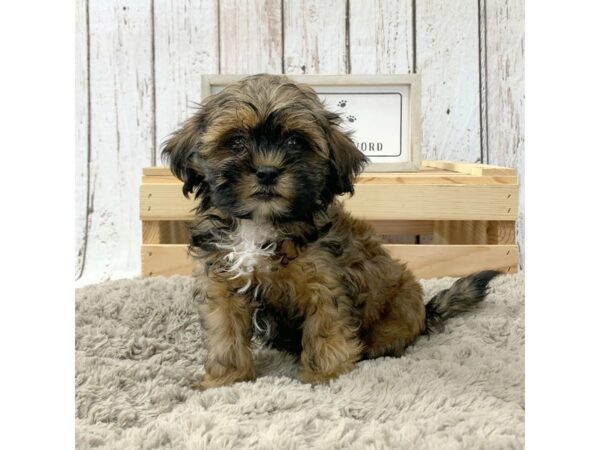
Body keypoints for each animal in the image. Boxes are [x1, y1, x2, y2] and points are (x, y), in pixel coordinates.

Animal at [162, 74, 500, 390]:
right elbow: (225, 333)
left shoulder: (325, 284)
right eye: (235, 142)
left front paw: (324, 376)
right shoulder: (222, 283)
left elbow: (325, 329)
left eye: (295, 143)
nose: (267, 171)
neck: (261, 223)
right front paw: (225, 379)